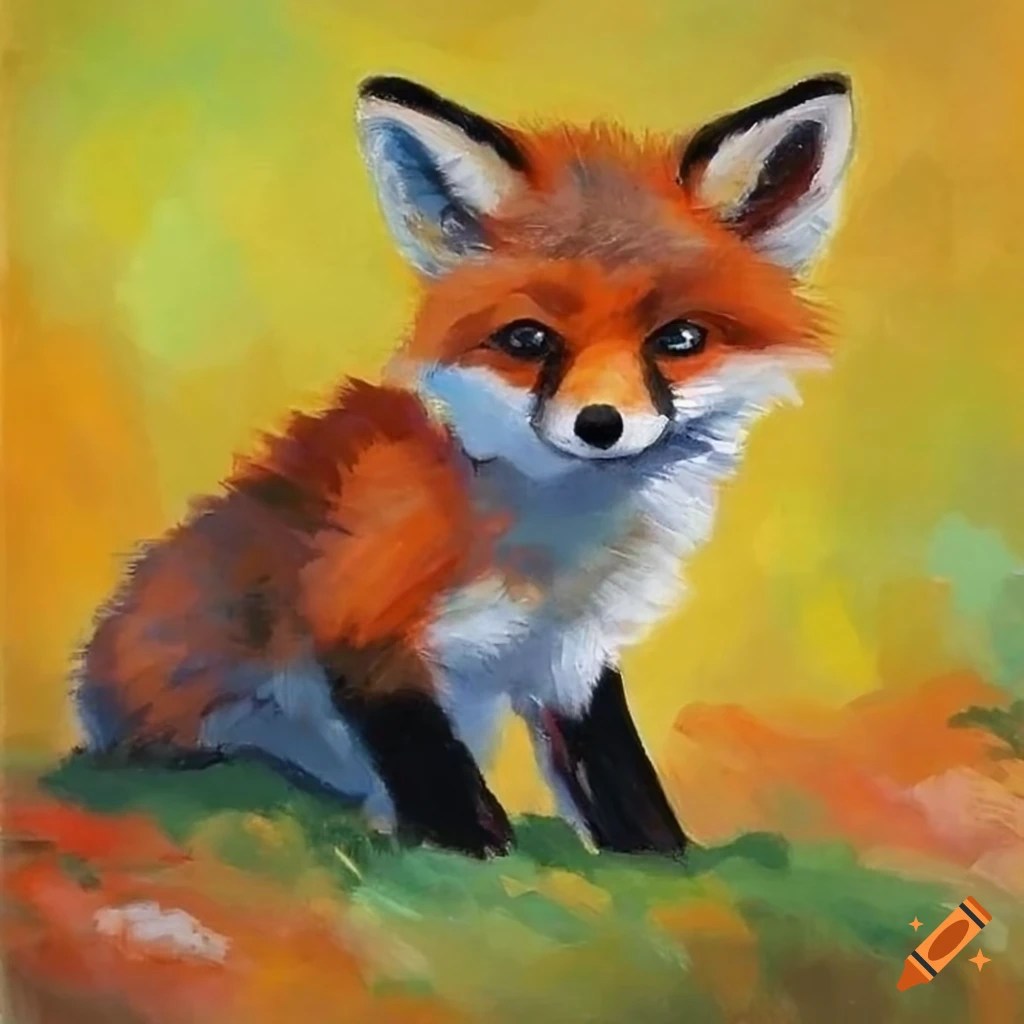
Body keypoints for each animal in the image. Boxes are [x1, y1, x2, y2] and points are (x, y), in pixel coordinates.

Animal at [75, 73, 855, 859]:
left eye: (680, 339)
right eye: (528, 340)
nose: (600, 425)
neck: (552, 545)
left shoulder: (571, 655)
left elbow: (619, 780)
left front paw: (658, 855)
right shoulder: (365, 613)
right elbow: (438, 773)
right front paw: (475, 845)